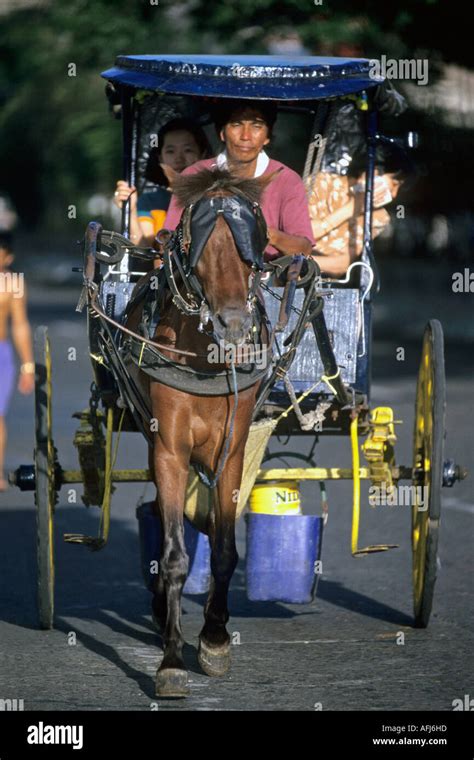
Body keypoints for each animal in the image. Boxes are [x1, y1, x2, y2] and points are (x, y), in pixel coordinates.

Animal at [124, 169, 276, 696]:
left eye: (252, 246)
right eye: (201, 246)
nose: (234, 325)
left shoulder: (232, 451)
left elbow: (226, 549)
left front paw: (214, 638)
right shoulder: (169, 449)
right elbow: (174, 555)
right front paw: (171, 661)